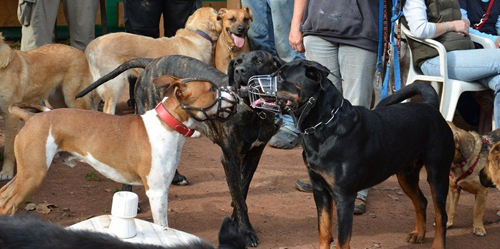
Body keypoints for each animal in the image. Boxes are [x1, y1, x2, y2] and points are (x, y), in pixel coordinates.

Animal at [0, 34, 100, 181]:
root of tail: (78, 51)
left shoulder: (10, 115)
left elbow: (8, 149)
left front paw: (6, 172)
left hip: (73, 99)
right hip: (58, 101)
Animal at [0, 77, 237, 227]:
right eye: (212, 89)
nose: (234, 89)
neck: (167, 123)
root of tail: (32, 117)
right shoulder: (157, 192)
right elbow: (163, 225)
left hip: (27, 173)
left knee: (4, 196)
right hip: (34, 175)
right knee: (9, 205)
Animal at [268, 60, 456, 249]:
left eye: (281, 77)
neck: (324, 125)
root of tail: (430, 106)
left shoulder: (344, 197)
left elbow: (342, 240)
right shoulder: (320, 190)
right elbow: (324, 230)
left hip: (438, 173)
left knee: (441, 215)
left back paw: (437, 244)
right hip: (406, 174)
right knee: (421, 201)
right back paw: (418, 233)